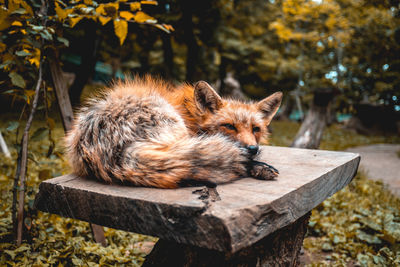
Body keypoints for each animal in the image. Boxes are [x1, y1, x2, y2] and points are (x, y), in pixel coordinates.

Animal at [65, 75, 282, 188]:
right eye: (229, 126)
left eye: (255, 129)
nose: (253, 149)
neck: (191, 114)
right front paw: (257, 165)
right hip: (175, 130)